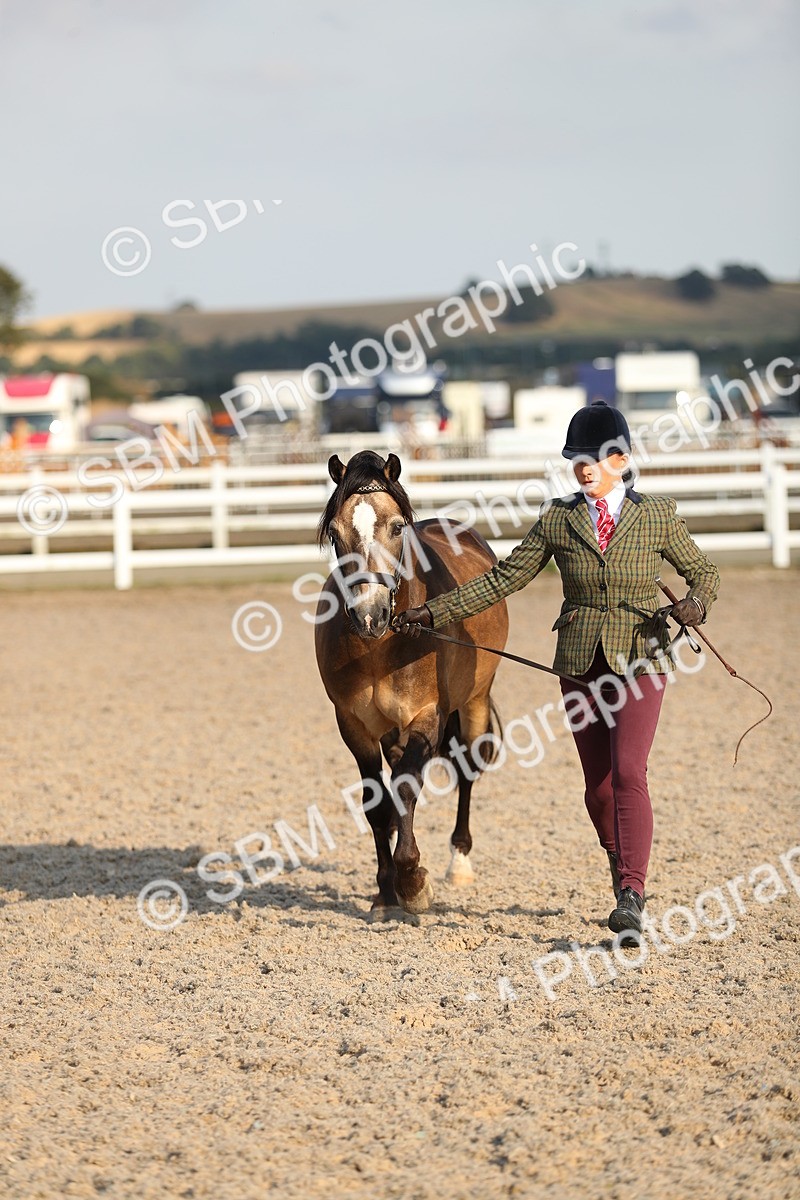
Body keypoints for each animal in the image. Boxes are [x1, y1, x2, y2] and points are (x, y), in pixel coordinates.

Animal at [314, 449, 509, 918]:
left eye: (397, 527)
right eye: (335, 533)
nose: (369, 615)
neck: (380, 647)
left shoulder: (427, 718)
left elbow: (404, 789)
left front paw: (413, 883)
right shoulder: (355, 727)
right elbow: (378, 806)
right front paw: (386, 891)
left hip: (475, 701)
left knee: (466, 771)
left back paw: (459, 862)